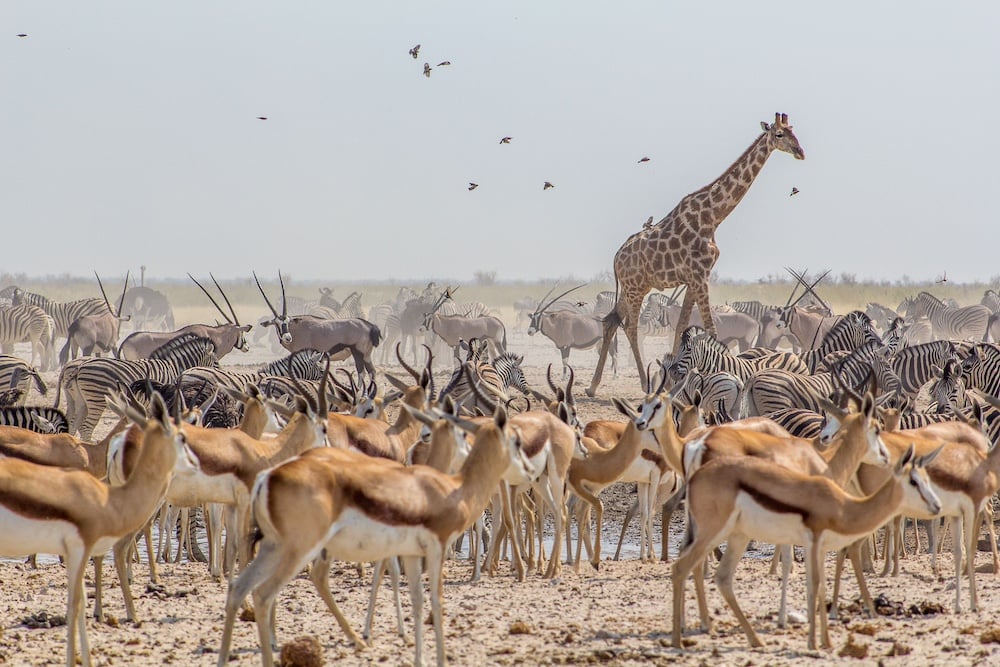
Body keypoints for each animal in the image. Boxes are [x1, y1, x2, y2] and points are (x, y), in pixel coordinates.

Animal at [59, 333, 217, 440]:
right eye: (216, 361)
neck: (173, 366)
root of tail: (79, 367)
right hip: (96, 399)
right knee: (86, 427)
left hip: (79, 400)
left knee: (73, 424)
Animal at [216, 405, 528, 667]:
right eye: (463, 433)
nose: (525, 468)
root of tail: (269, 477)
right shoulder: (420, 548)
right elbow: (411, 587)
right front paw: (389, 633)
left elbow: (405, 588)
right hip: (300, 549)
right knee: (272, 589)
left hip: (281, 547)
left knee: (248, 585)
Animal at [585, 112, 805, 397]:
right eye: (779, 134)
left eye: (793, 131)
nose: (800, 151)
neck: (712, 217)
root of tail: (616, 258)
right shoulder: (700, 275)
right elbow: (710, 327)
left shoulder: (694, 277)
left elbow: (681, 326)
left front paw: (674, 379)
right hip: (635, 288)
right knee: (631, 327)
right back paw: (644, 383)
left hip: (634, 286)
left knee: (610, 320)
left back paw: (592, 386)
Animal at [672, 446, 941, 651]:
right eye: (913, 481)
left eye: (928, 479)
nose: (937, 506)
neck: (842, 507)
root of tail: (695, 477)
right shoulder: (813, 543)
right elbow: (813, 587)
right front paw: (813, 643)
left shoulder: (820, 550)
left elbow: (821, 588)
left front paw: (827, 642)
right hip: (712, 533)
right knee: (680, 568)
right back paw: (678, 641)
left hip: (737, 536)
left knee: (722, 577)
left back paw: (755, 640)